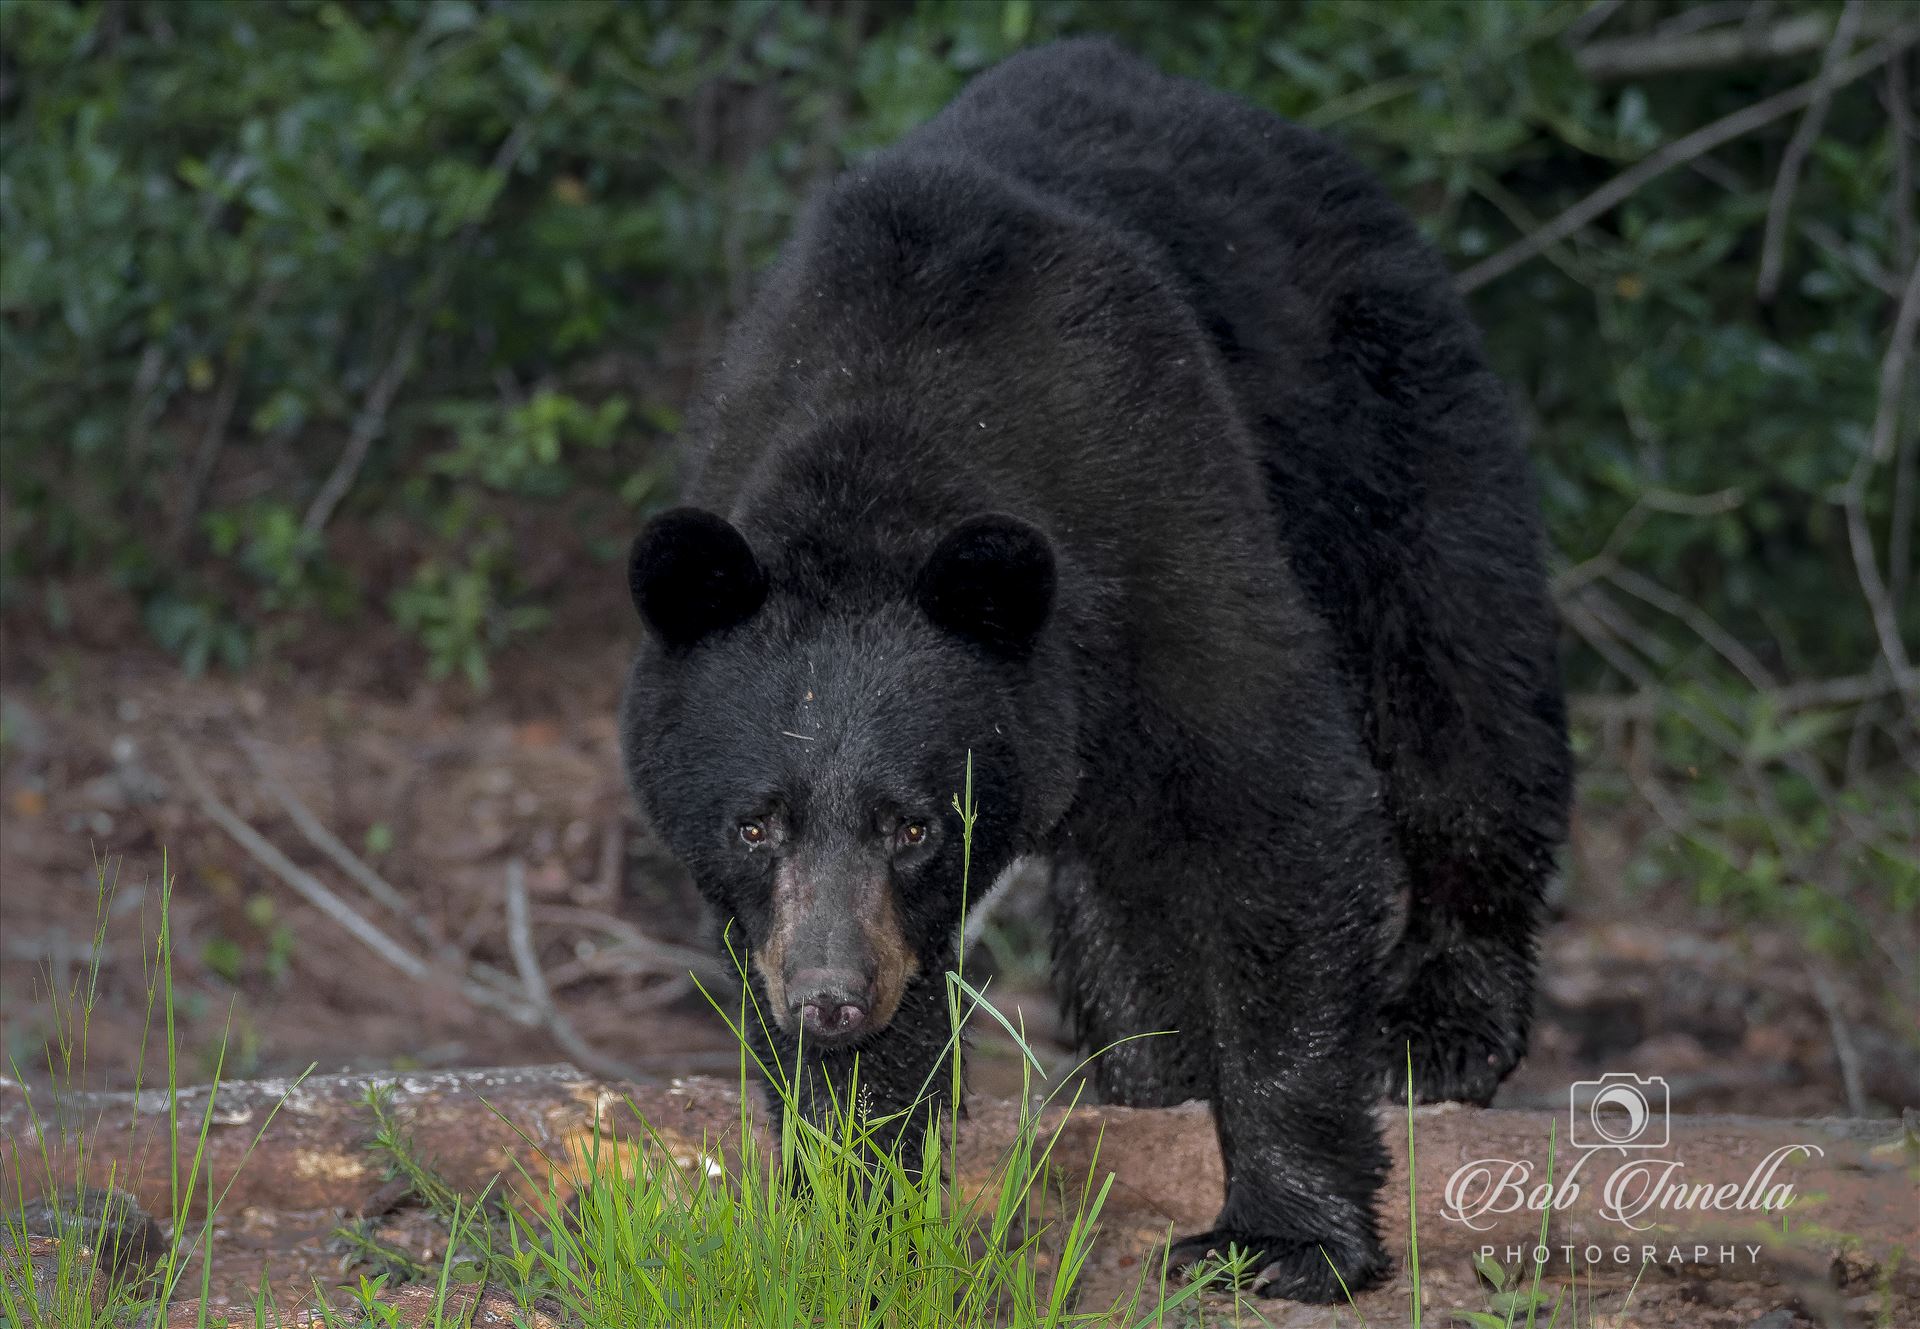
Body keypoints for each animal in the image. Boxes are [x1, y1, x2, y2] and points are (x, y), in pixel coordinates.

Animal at [622, 36, 1566, 1305]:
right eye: (755, 824)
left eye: (915, 825)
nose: (830, 1001)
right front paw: (858, 1212)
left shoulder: (1158, 509)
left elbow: (1274, 806)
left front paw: (1285, 1233)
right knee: (1125, 873)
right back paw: (1151, 1067)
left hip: (1387, 416)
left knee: (1461, 670)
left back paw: (1444, 1023)